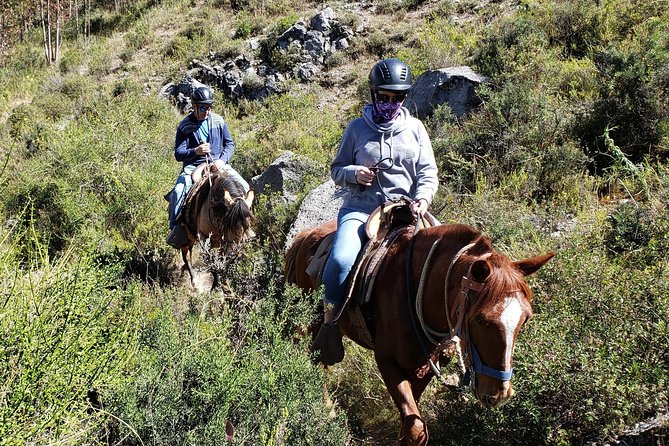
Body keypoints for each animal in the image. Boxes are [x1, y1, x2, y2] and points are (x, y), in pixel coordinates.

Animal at [284, 216, 552, 442]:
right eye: (480, 320)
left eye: (525, 319)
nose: (499, 394)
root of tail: (308, 235)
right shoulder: (387, 361)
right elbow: (415, 428)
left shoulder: (425, 368)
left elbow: (412, 422)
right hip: (307, 319)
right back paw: (325, 407)